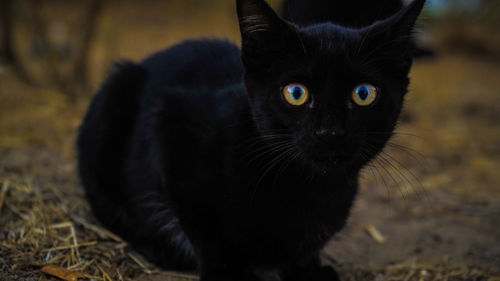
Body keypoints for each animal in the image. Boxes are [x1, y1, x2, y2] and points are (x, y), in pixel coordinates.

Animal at [77, 0, 426, 280]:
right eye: (296, 93)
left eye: (363, 94)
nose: (330, 132)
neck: (305, 188)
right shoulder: (169, 121)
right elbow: (203, 226)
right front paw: (228, 271)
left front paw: (309, 269)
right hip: (112, 99)